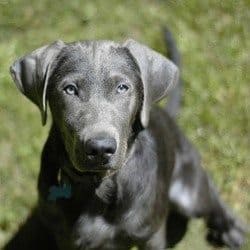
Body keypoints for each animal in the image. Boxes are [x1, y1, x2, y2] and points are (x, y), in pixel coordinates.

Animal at [4, 29, 245, 250]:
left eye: (122, 87)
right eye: (69, 89)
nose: (100, 148)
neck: (99, 186)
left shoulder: (151, 236)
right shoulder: (66, 238)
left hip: (187, 194)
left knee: (209, 193)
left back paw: (231, 230)